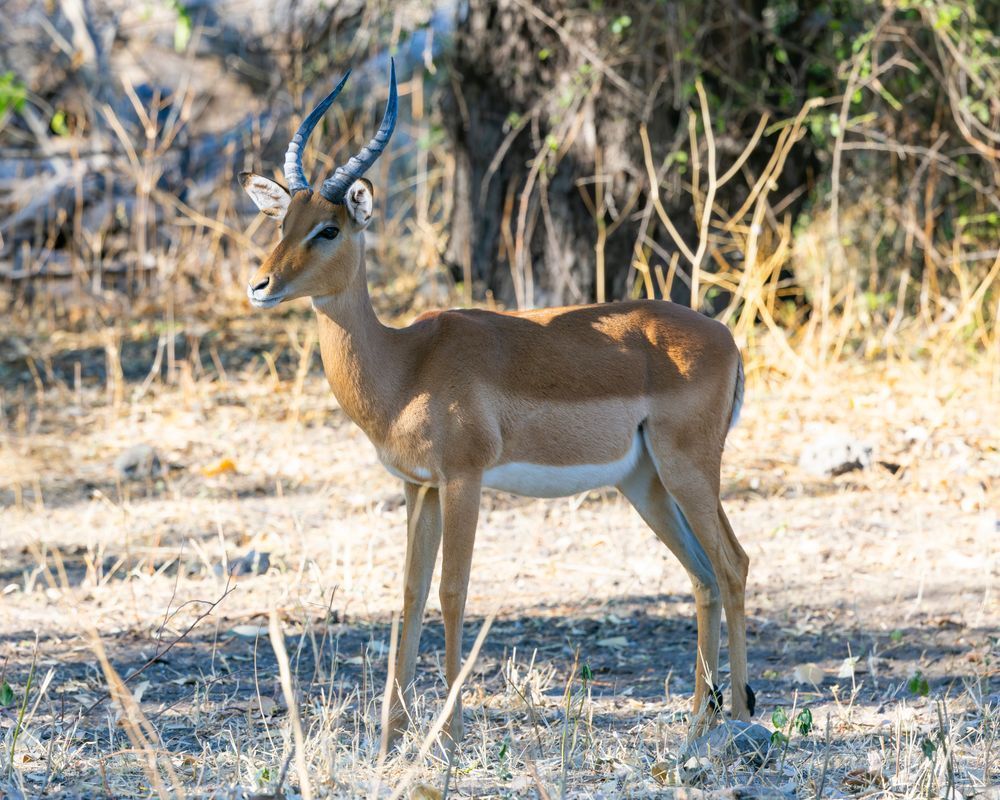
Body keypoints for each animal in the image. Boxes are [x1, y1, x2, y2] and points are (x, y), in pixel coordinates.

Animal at [239, 61, 754, 744]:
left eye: (329, 228)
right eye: (282, 224)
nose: (261, 285)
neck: (406, 363)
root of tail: (726, 339)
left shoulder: (464, 478)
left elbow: (452, 590)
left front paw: (449, 733)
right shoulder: (419, 486)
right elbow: (409, 592)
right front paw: (392, 735)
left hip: (689, 471)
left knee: (733, 565)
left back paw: (741, 717)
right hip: (644, 482)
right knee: (702, 575)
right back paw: (698, 720)